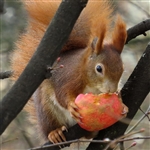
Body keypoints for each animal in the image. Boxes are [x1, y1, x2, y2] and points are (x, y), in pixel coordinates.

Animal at [11, 0, 128, 144]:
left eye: (122, 68)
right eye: (99, 68)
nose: (112, 90)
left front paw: (123, 104)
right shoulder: (68, 77)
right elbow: (63, 94)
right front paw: (71, 105)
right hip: (46, 111)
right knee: (50, 125)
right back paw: (54, 133)